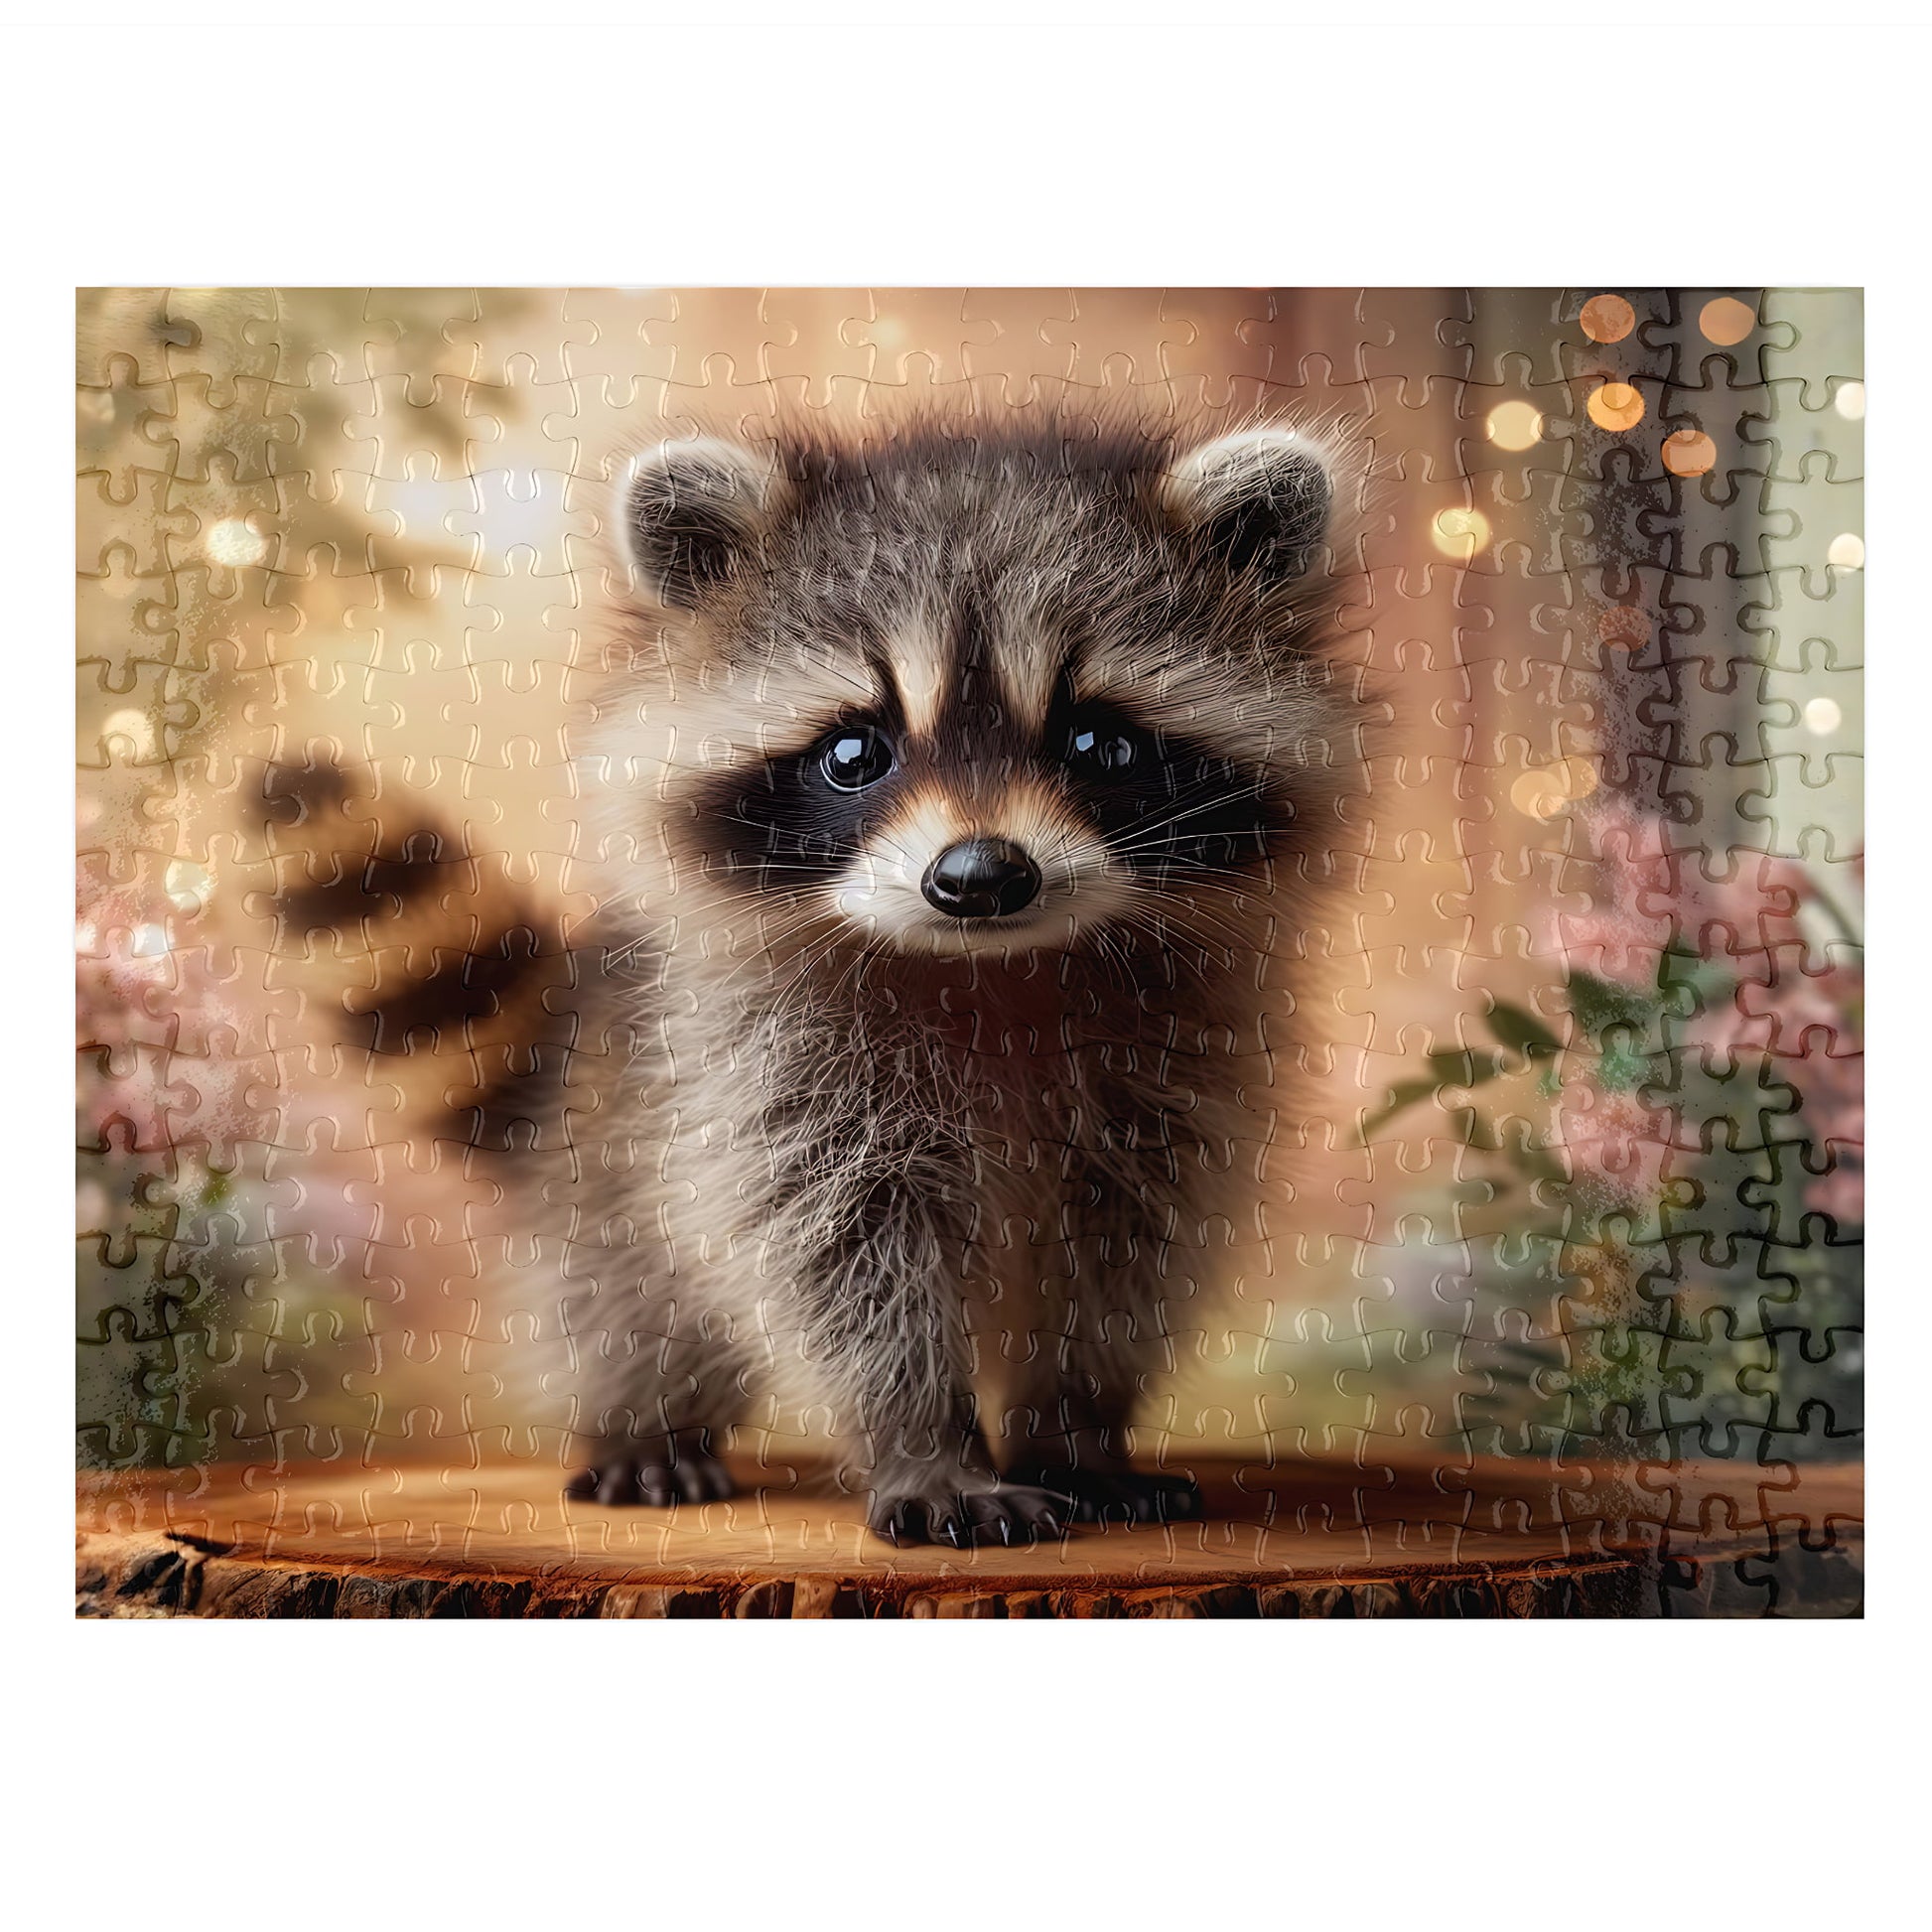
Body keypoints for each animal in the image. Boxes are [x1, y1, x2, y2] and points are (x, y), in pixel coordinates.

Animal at [548, 414, 1366, 1545]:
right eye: (854, 752)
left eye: (1099, 742)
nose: (980, 877)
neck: (995, 966)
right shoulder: (768, 1062)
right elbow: (832, 1247)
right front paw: (925, 1439)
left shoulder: (1177, 1061)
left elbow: (1128, 1245)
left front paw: (1074, 1426)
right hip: (607, 1148)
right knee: (624, 1286)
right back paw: (645, 1424)